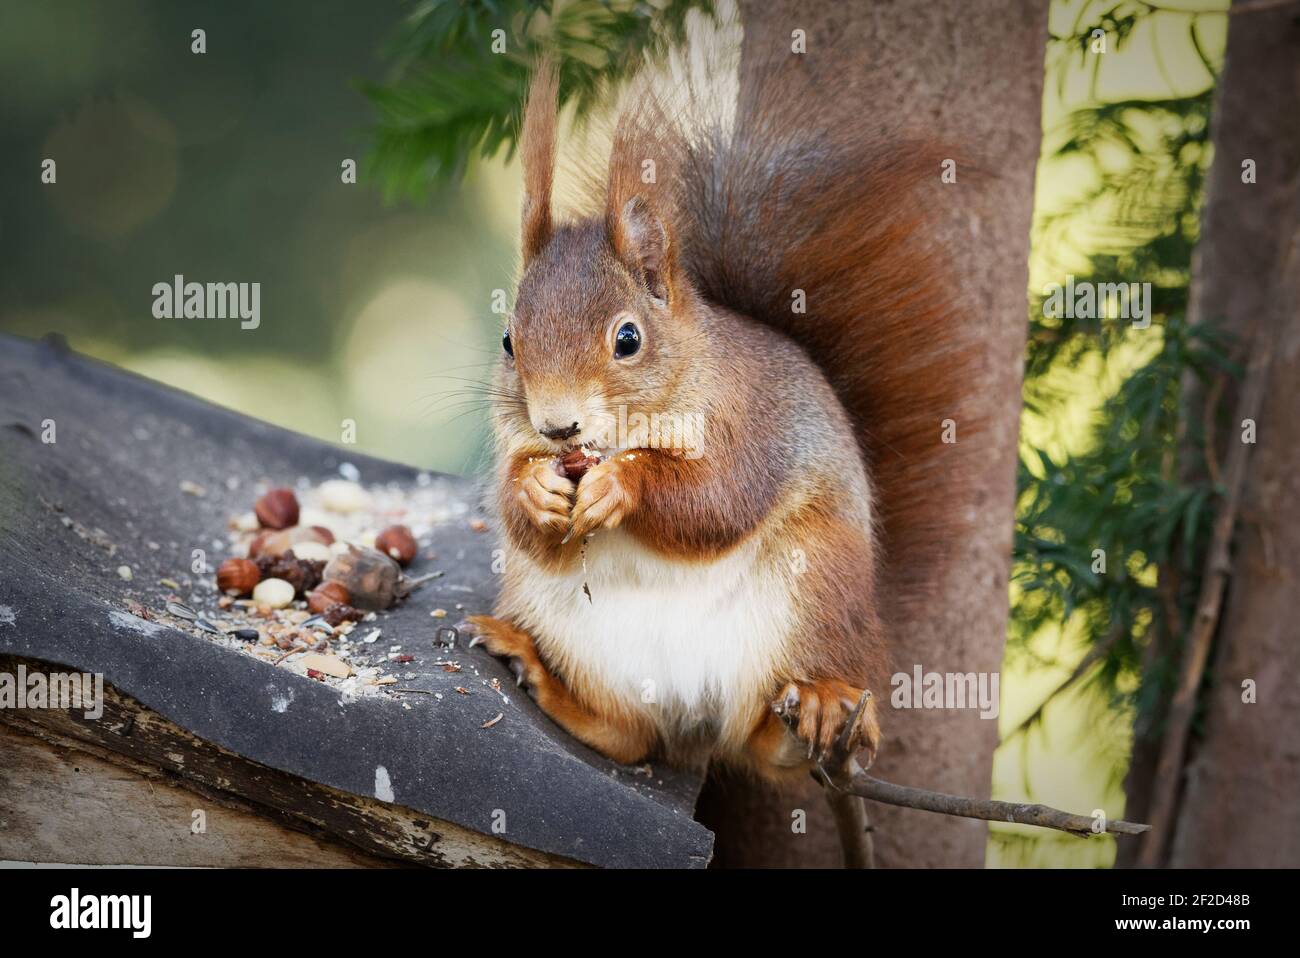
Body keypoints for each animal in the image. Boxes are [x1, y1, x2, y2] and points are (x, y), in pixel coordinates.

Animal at [467, 55, 967, 790]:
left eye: (627, 339)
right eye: (508, 341)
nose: (558, 428)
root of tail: (697, 716)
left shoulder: (753, 425)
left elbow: (718, 501)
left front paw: (623, 485)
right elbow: (530, 527)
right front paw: (533, 489)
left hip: (814, 589)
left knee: (767, 743)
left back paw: (817, 710)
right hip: (568, 625)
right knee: (631, 735)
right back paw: (537, 671)